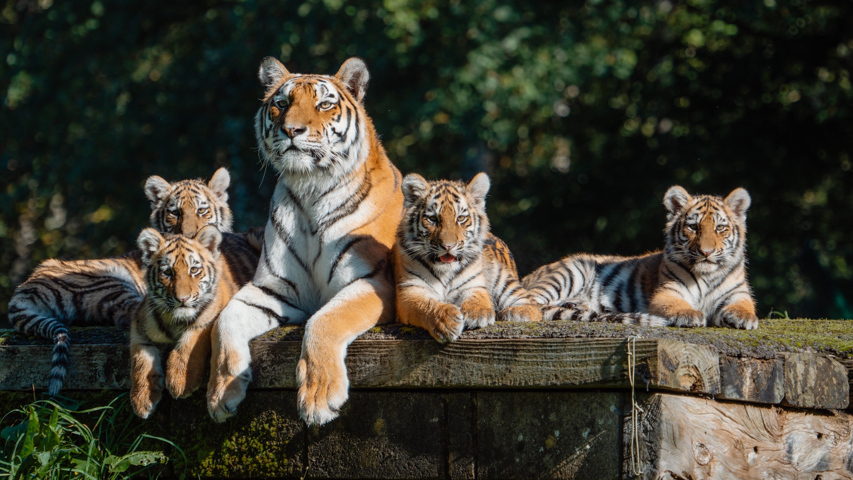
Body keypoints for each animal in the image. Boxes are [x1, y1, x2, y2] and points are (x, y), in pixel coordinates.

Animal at [208, 57, 404, 428]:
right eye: (281, 104)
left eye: (324, 104)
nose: (292, 130)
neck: (311, 190)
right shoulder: (275, 289)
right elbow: (224, 320)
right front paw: (222, 392)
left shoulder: (372, 281)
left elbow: (325, 320)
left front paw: (319, 399)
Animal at [524, 186, 756, 328]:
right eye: (693, 227)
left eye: (719, 228)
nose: (706, 252)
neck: (707, 275)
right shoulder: (668, 292)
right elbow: (678, 305)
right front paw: (689, 315)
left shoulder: (738, 294)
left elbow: (744, 306)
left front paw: (744, 318)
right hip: (572, 271)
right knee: (532, 302)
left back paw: (578, 306)